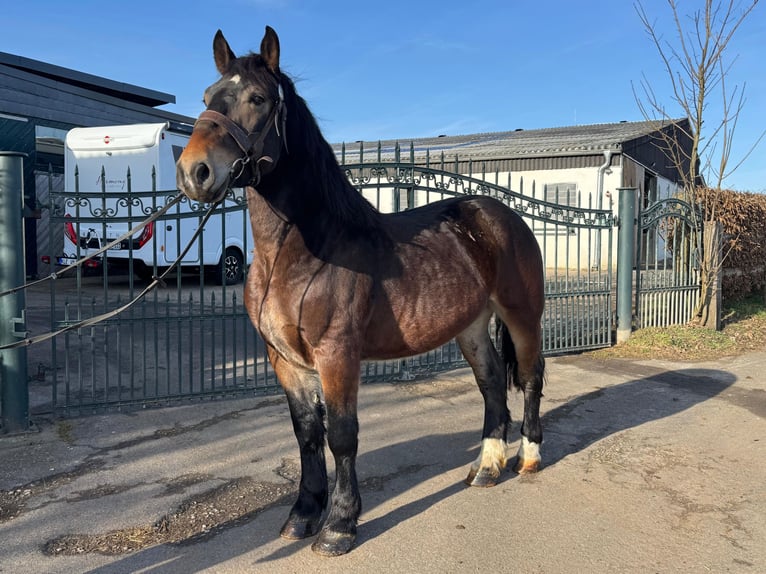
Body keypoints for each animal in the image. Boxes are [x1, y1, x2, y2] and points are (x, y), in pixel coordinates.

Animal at [176, 26, 546, 557]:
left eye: (257, 98)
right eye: (207, 97)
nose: (194, 172)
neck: (302, 252)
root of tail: (499, 214)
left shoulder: (337, 354)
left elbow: (343, 436)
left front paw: (339, 526)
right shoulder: (283, 359)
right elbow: (307, 434)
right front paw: (302, 515)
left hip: (521, 315)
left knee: (531, 377)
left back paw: (529, 457)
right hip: (471, 327)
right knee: (493, 383)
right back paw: (487, 468)